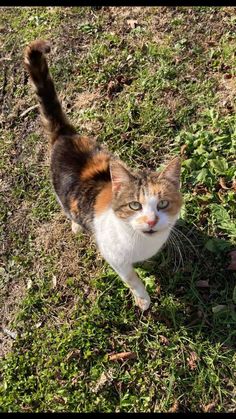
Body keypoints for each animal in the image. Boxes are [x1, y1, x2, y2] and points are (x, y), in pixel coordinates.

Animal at [24, 40, 183, 312]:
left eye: (163, 204)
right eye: (134, 205)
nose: (151, 221)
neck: (140, 243)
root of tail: (65, 135)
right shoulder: (115, 258)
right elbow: (131, 278)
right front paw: (143, 298)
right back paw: (77, 225)